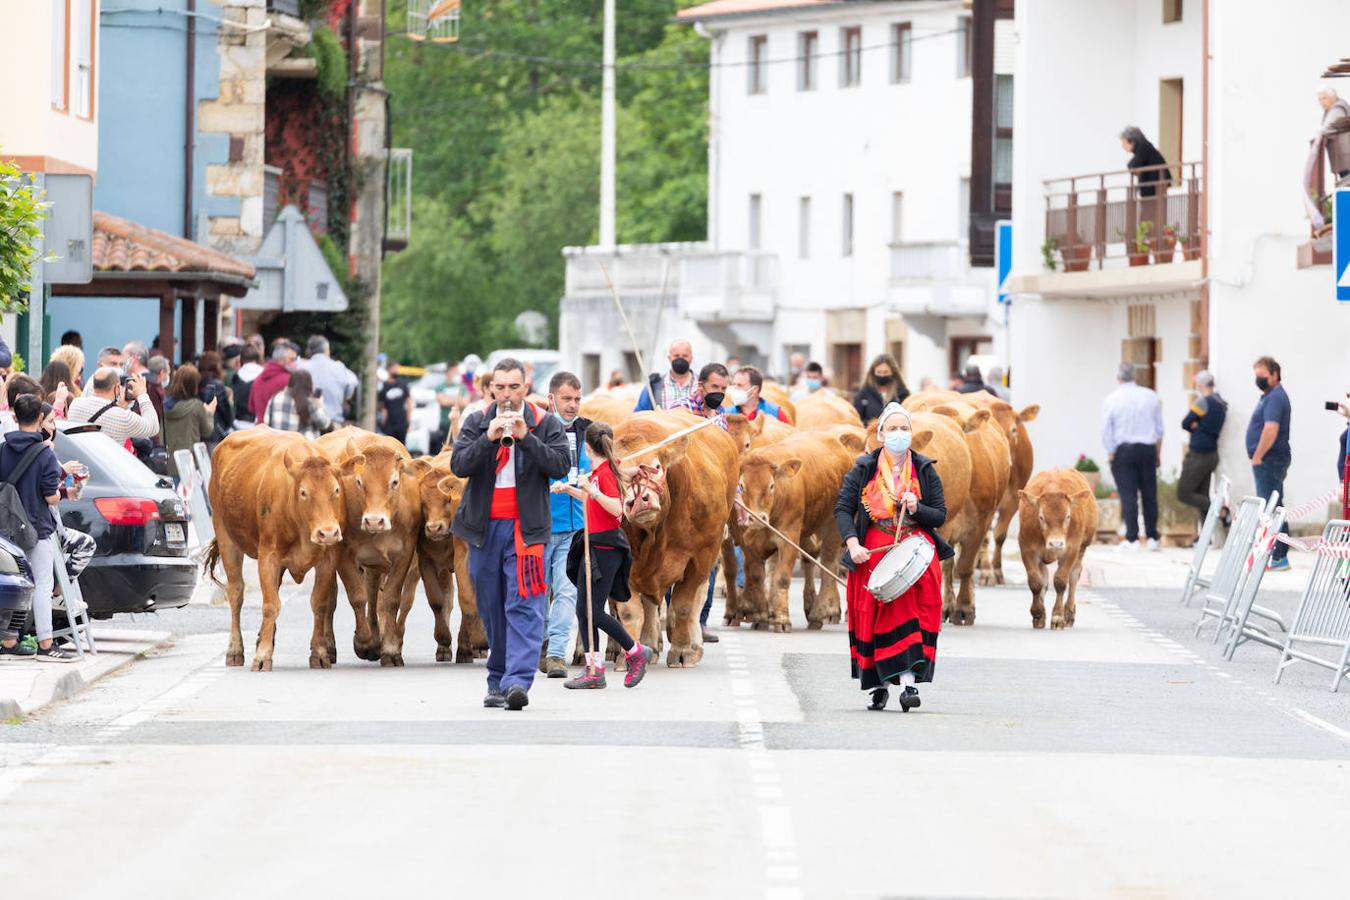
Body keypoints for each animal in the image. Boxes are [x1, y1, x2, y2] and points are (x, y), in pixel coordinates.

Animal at [205, 429, 364, 669]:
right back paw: (235, 650)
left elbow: (319, 603)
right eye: (304, 492)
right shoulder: (268, 556)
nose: (327, 533)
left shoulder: (328, 557)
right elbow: (271, 605)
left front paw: (319, 653)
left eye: (336, 490)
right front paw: (262, 656)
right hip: (225, 535)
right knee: (236, 592)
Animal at [310, 429, 426, 669]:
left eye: (394, 481)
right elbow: (357, 596)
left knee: (374, 594)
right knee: (331, 599)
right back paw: (330, 646)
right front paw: (363, 642)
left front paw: (389, 649)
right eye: (359, 481)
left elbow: (390, 600)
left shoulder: (404, 555)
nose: (374, 521)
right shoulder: (342, 553)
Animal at [615, 412, 739, 666]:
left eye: (656, 466)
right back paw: (650, 645)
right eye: (619, 475)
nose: (639, 501)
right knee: (650, 605)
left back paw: (693, 644)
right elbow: (630, 612)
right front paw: (628, 656)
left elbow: (683, 606)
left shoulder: (700, 558)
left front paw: (682, 650)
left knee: (695, 600)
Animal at [734, 431, 847, 631]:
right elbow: (756, 576)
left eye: (771, 486)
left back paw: (821, 612)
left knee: (828, 566)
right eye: (741, 486)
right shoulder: (747, 542)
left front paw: (781, 619)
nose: (757, 517)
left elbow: (782, 578)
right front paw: (762, 617)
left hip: (833, 525)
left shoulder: (789, 539)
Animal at [1020, 469, 1096, 631]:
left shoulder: (1071, 549)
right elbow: (1036, 582)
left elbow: (1061, 581)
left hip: (1081, 550)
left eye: (1068, 516)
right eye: (1041, 517)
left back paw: (1069, 614)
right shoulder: (1027, 548)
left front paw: (1058, 617)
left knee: (1073, 577)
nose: (1056, 543)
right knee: (1044, 577)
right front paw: (1038, 614)